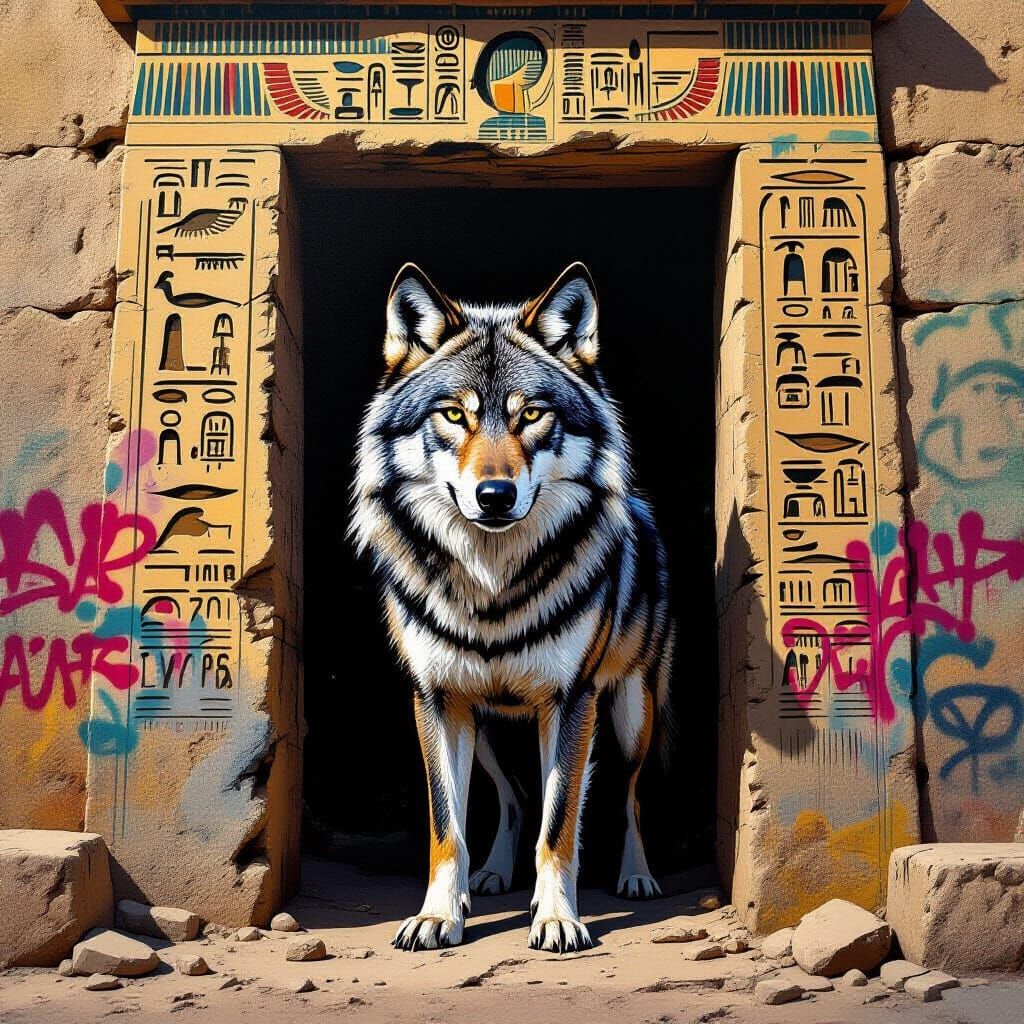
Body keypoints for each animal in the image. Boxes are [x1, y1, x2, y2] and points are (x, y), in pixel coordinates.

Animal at [350, 262, 675, 953]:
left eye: (531, 415)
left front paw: (557, 919)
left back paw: (636, 876)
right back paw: (492, 876)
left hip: (631, 713)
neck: (492, 588)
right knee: (516, 796)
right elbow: (448, 827)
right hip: (490, 725)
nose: (495, 495)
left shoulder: (572, 702)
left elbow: (561, 825)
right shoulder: (437, 698)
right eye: (453, 414)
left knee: (629, 796)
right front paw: (438, 915)